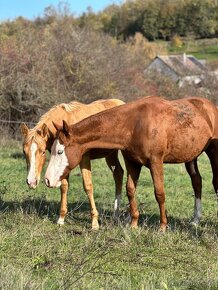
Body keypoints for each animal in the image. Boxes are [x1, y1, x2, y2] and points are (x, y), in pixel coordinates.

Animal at [19, 98, 125, 230]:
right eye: (24, 151)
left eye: (43, 151)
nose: (31, 182)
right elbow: (64, 186)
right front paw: (61, 218)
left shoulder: (84, 159)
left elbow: (88, 186)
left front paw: (94, 222)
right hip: (110, 154)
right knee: (118, 174)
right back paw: (116, 214)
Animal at [44, 96, 218, 232]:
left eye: (60, 151)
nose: (47, 180)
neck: (135, 125)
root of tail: (211, 107)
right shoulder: (132, 163)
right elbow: (130, 190)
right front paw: (134, 223)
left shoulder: (156, 162)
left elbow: (159, 193)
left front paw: (163, 226)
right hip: (191, 157)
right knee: (197, 182)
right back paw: (195, 220)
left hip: (213, 152)